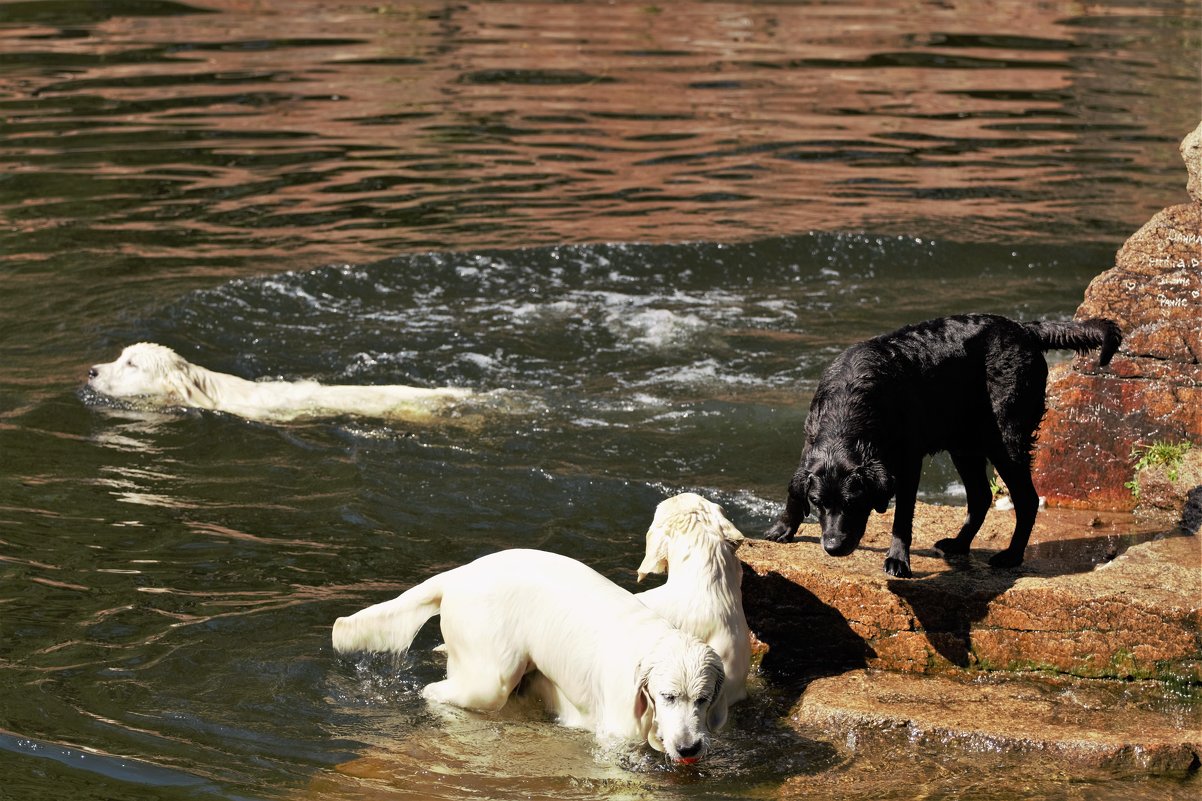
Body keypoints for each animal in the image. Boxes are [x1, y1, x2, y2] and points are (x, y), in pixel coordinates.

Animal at [764, 312, 1120, 574]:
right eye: (818, 502)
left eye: (854, 502)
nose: (834, 547)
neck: (850, 405)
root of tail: (1023, 329)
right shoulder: (810, 443)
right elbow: (793, 489)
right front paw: (783, 528)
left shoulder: (908, 461)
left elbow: (902, 517)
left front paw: (898, 560)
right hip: (965, 444)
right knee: (981, 497)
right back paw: (959, 544)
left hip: (1006, 440)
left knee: (1026, 499)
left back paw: (1011, 555)